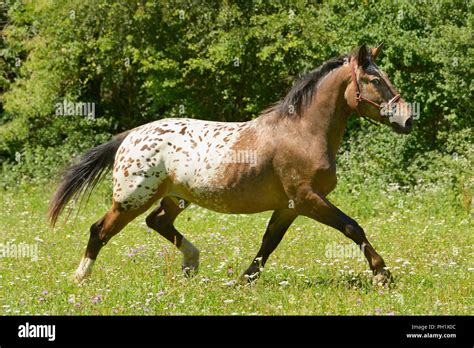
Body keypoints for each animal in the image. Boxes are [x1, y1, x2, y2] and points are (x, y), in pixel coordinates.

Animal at [46, 44, 412, 284]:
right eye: (375, 81)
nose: (407, 119)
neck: (301, 131)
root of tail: (130, 135)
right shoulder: (308, 199)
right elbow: (352, 227)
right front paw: (382, 274)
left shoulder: (290, 206)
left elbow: (269, 242)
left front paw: (245, 280)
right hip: (131, 198)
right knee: (100, 230)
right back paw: (80, 278)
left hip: (174, 198)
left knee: (157, 222)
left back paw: (192, 264)